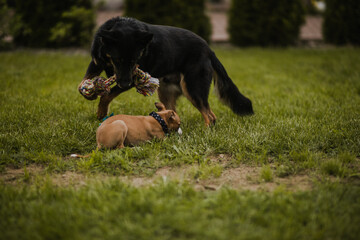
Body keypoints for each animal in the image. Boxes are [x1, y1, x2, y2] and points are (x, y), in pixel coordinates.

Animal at [82, 16, 253, 125]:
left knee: (210, 116)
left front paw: (101, 112)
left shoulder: (132, 78)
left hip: (193, 88)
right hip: (165, 92)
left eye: (135, 61)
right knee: (177, 113)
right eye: (117, 60)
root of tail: (209, 50)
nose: (125, 84)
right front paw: (90, 92)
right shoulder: (96, 63)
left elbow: (107, 95)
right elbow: (85, 80)